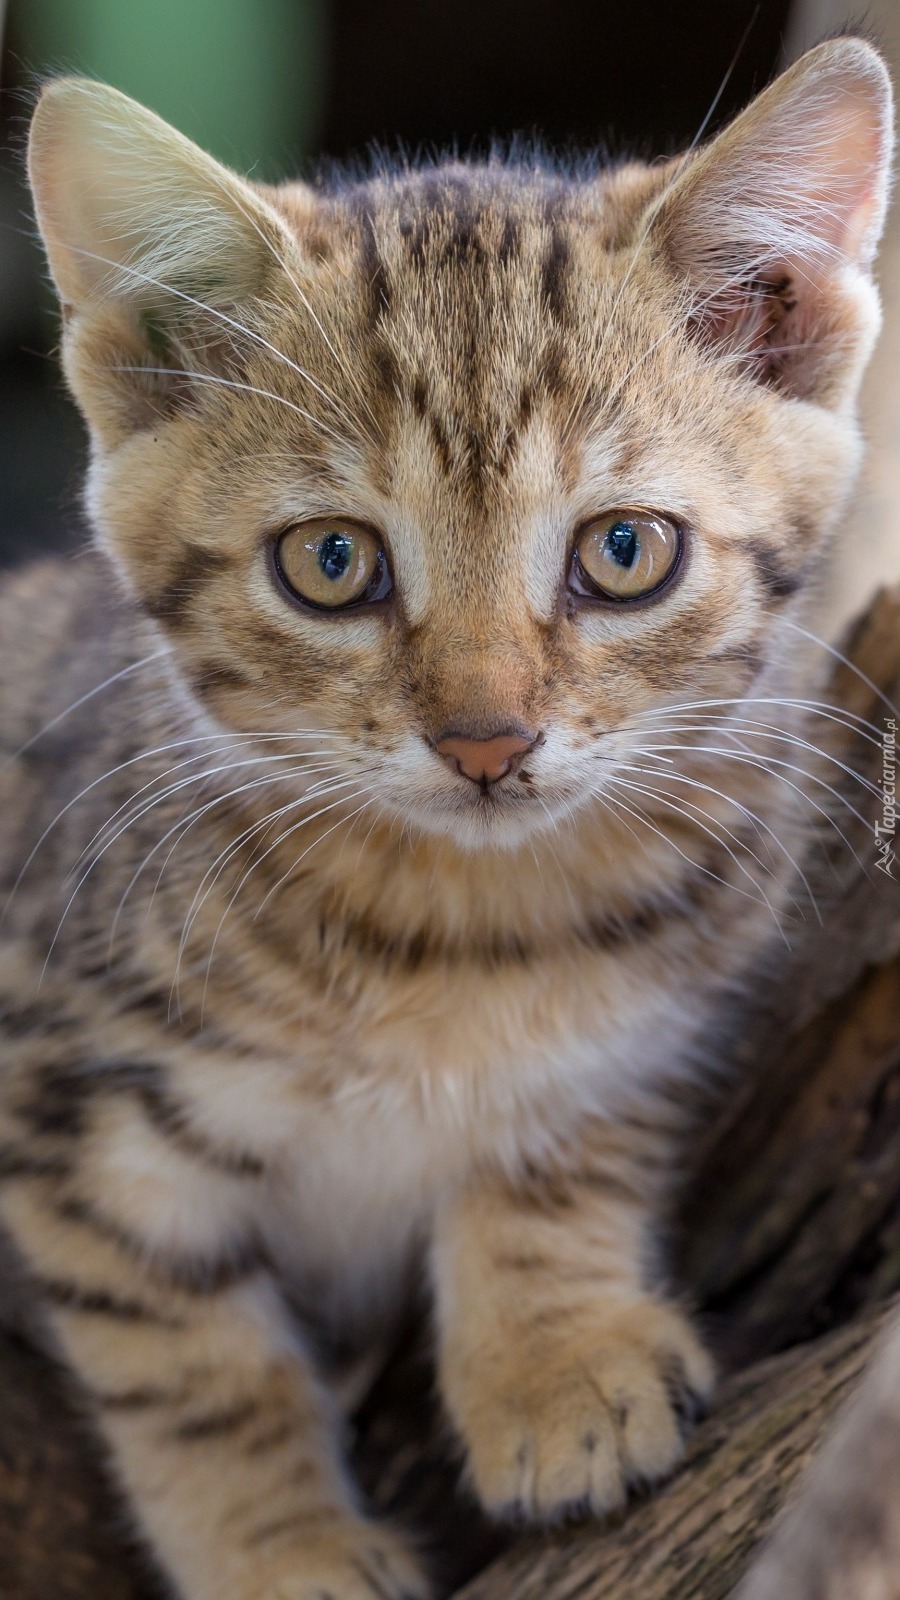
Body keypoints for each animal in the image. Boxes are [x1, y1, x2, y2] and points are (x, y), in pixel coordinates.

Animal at [0, 34, 883, 1600]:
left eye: (626, 549)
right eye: (333, 562)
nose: (486, 741)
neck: (450, 929)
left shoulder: (660, 1006)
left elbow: (559, 1144)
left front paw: (552, 1359)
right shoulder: (70, 1101)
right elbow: (194, 1361)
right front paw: (282, 1549)